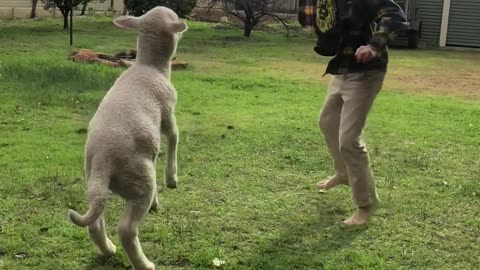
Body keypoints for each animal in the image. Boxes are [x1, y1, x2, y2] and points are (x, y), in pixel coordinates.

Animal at [67, 6, 188, 270]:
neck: (150, 65)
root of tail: (103, 160)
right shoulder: (167, 109)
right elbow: (174, 137)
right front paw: (172, 178)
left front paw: (158, 200)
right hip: (139, 179)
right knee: (126, 229)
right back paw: (145, 264)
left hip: (95, 181)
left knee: (95, 223)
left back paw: (108, 250)